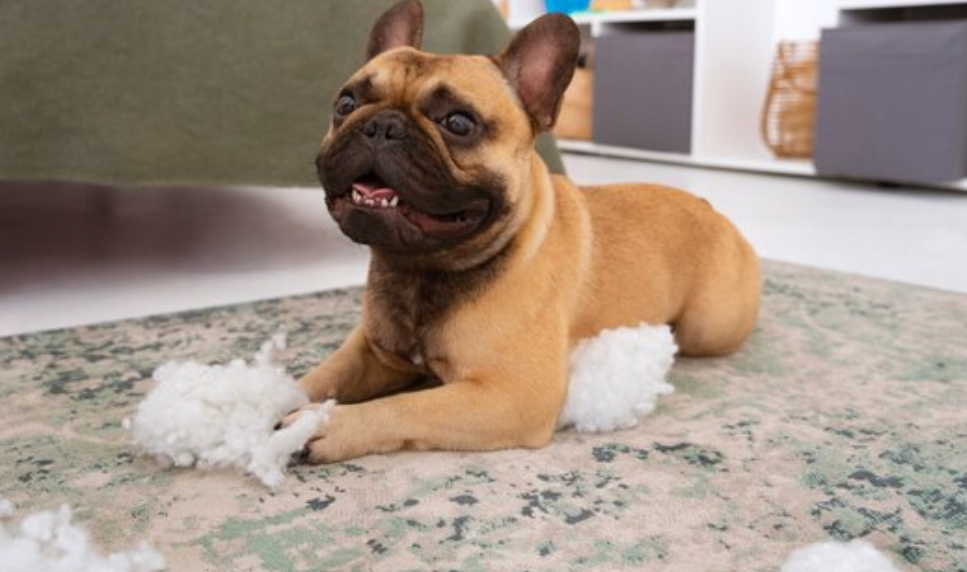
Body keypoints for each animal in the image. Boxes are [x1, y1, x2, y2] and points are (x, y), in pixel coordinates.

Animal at [280, 0, 764, 462]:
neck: (421, 269)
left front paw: (323, 424)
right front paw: (271, 402)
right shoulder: (371, 352)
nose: (381, 125)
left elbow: (403, 407)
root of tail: (710, 208)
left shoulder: (510, 395)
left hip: (708, 327)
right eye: (345, 105)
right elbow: (316, 377)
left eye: (458, 123)